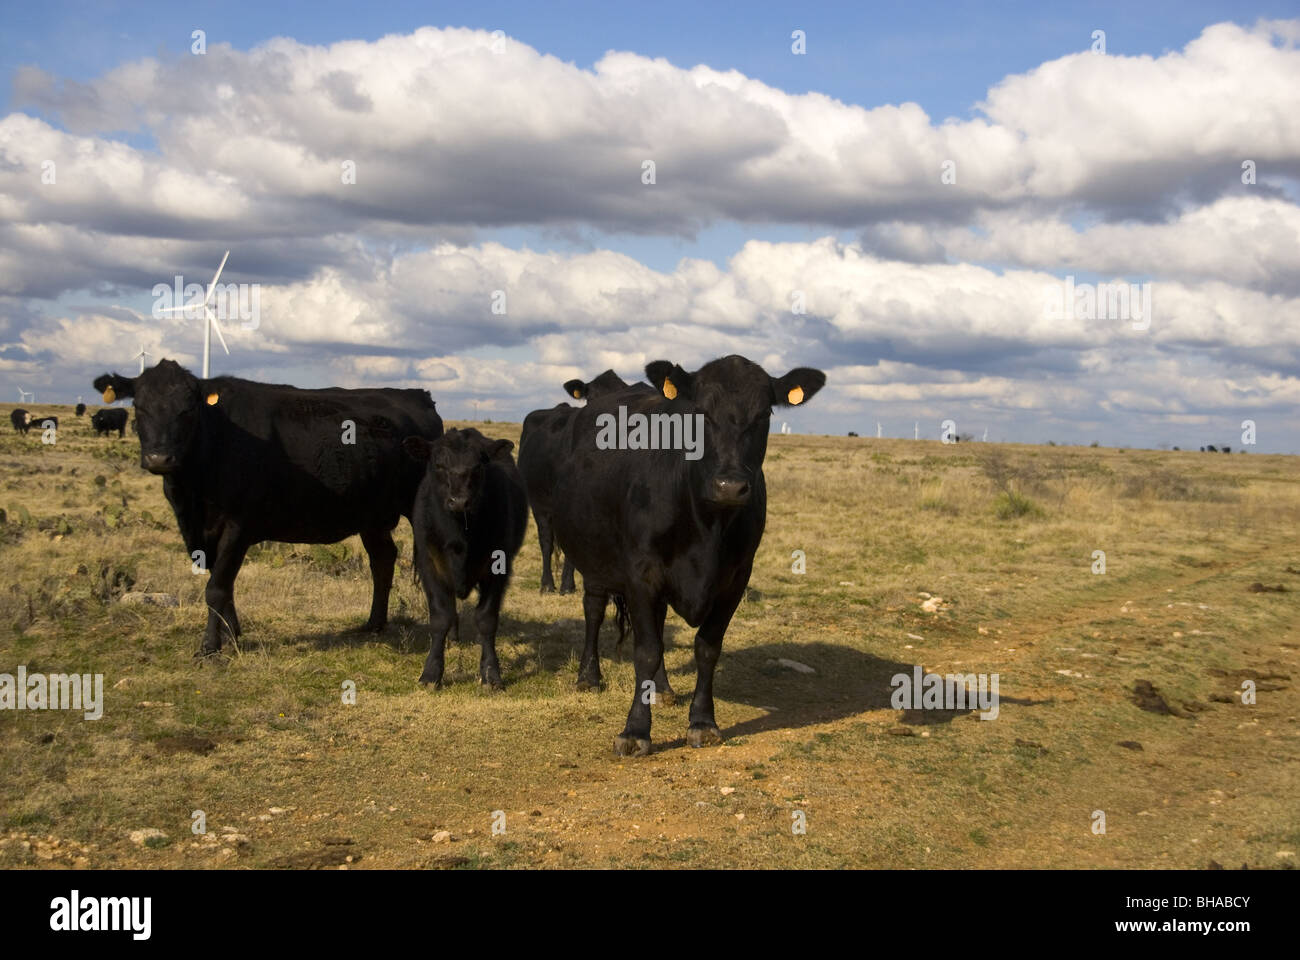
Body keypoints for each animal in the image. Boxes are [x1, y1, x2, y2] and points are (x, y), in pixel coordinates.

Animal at [92, 359, 444, 657]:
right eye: (138, 407)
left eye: (187, 410)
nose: (159, 458)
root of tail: (417, 396)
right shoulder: (202, 531)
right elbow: (224, 584)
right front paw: (233, 634)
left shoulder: (237, 524)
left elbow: (216, 587)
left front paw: (210, 647)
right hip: (371, 515)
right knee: (382, 560)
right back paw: (374, 624)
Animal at [403, 428, 527, 690]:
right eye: (439, 465)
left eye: (478, 466)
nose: (459, 502)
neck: (459, 537)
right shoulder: (429, 565)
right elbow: (441, 617)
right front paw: (431, 673)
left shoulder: (499, 568)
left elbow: (486, 619)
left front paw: (491, 673)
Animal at [547, 355, 825, 755]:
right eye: (700, 412)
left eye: (764, 415)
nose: (729, 485)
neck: (707, 525)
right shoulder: (640, 574)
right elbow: (646, 651)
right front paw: (635, 730)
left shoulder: (736, 579)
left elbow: (706, 648)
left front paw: (703, 722)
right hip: (593, 558)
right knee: (594, 610)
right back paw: (589, 676)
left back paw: (661, 690)